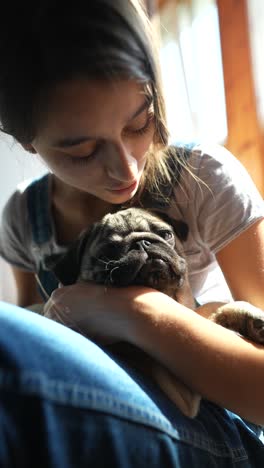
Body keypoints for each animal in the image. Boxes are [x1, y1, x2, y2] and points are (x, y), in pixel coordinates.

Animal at [44, 208, 264, 416]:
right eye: (107, 253)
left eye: (166, 234)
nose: (142, 243)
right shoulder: (181, 391)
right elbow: (207, 313)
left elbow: (211, 307)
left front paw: (250, 317)